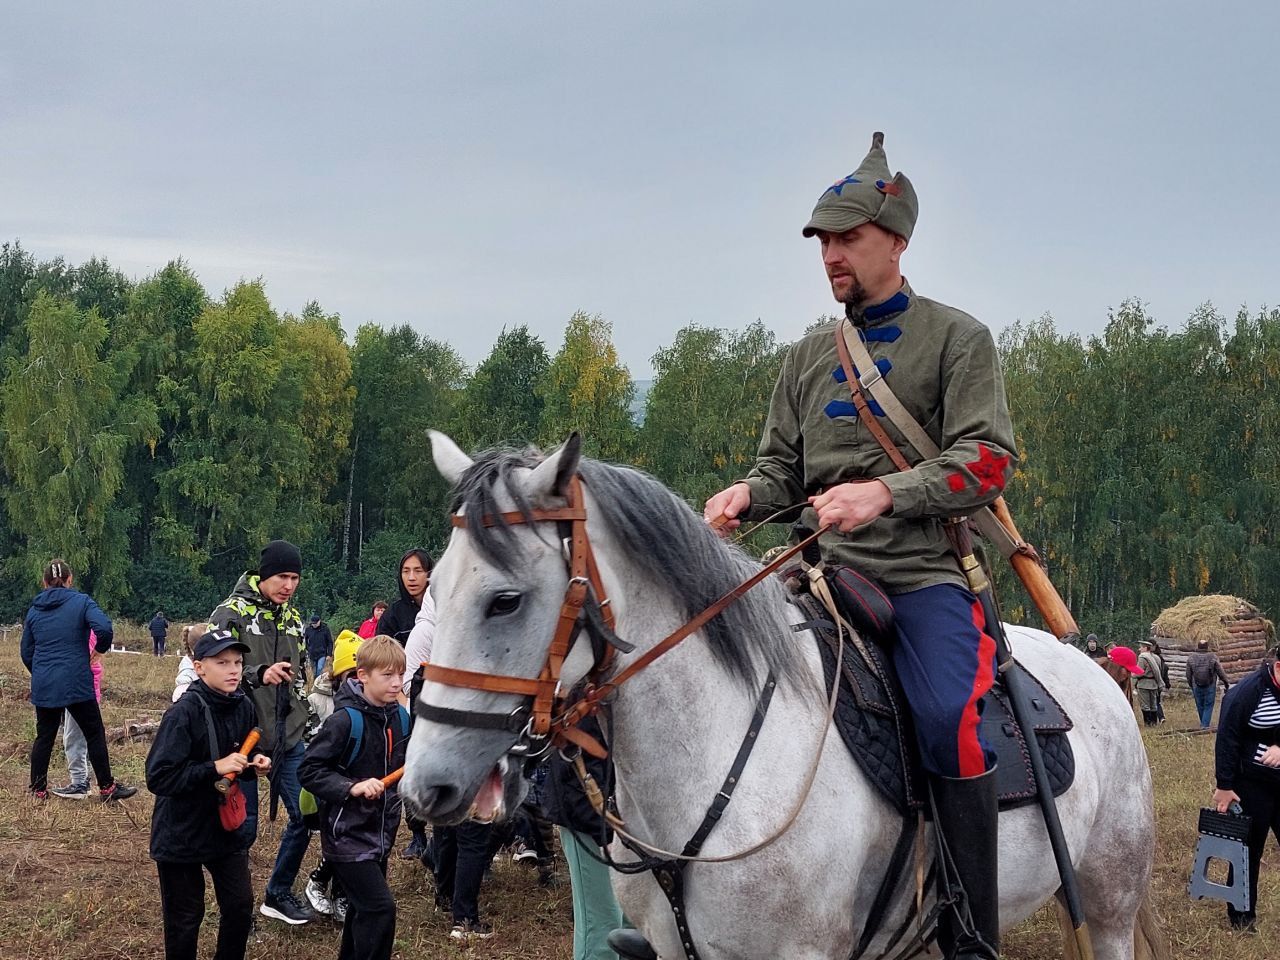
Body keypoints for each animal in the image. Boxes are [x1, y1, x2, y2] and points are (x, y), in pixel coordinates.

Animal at [401, 437, 1172, 960]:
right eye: (433, 588)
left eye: (505, 600)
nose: (424, 788)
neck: (719, 758)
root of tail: (1090, 668)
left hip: (1107, 903)